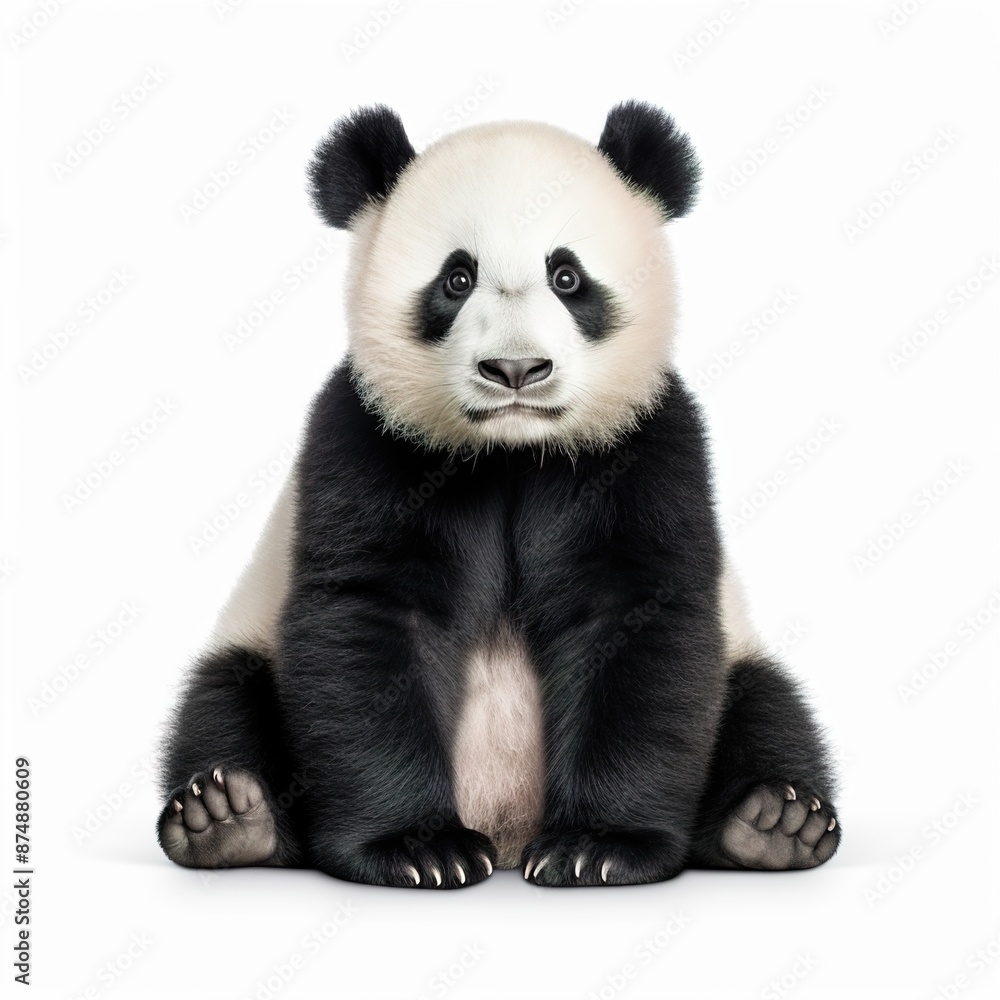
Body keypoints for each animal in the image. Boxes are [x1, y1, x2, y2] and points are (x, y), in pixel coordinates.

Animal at [157, 101, 840, 888]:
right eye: (457, 279)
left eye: (566, 276)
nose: (516, 370)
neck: (512, 453)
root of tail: (509, 830)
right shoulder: (367, 444)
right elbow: (369, 621)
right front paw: (419, 848)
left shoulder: (646, 452)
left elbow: (637, 622)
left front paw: (598, 846)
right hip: (251, 636)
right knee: (221, 701)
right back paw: (228, 818)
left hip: (743, 657)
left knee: (769, 706)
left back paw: (772, 823)